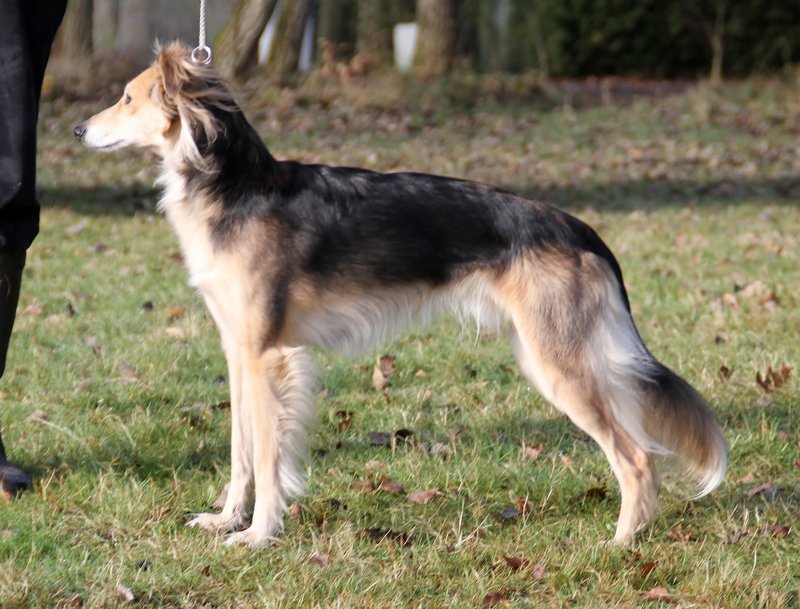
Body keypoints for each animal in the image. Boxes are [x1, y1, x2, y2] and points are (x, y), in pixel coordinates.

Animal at [74, 43, 727, 547]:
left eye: (127, 98)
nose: (79, 129)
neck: (236, 188)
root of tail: (578, 228)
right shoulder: (239, 353)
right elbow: (241, 453)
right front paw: (226, 520)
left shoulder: (268, 357)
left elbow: (268, 456)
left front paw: (258, 535)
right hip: (549, 358)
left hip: (560, 366)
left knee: (637, 458)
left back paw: (620, 543)